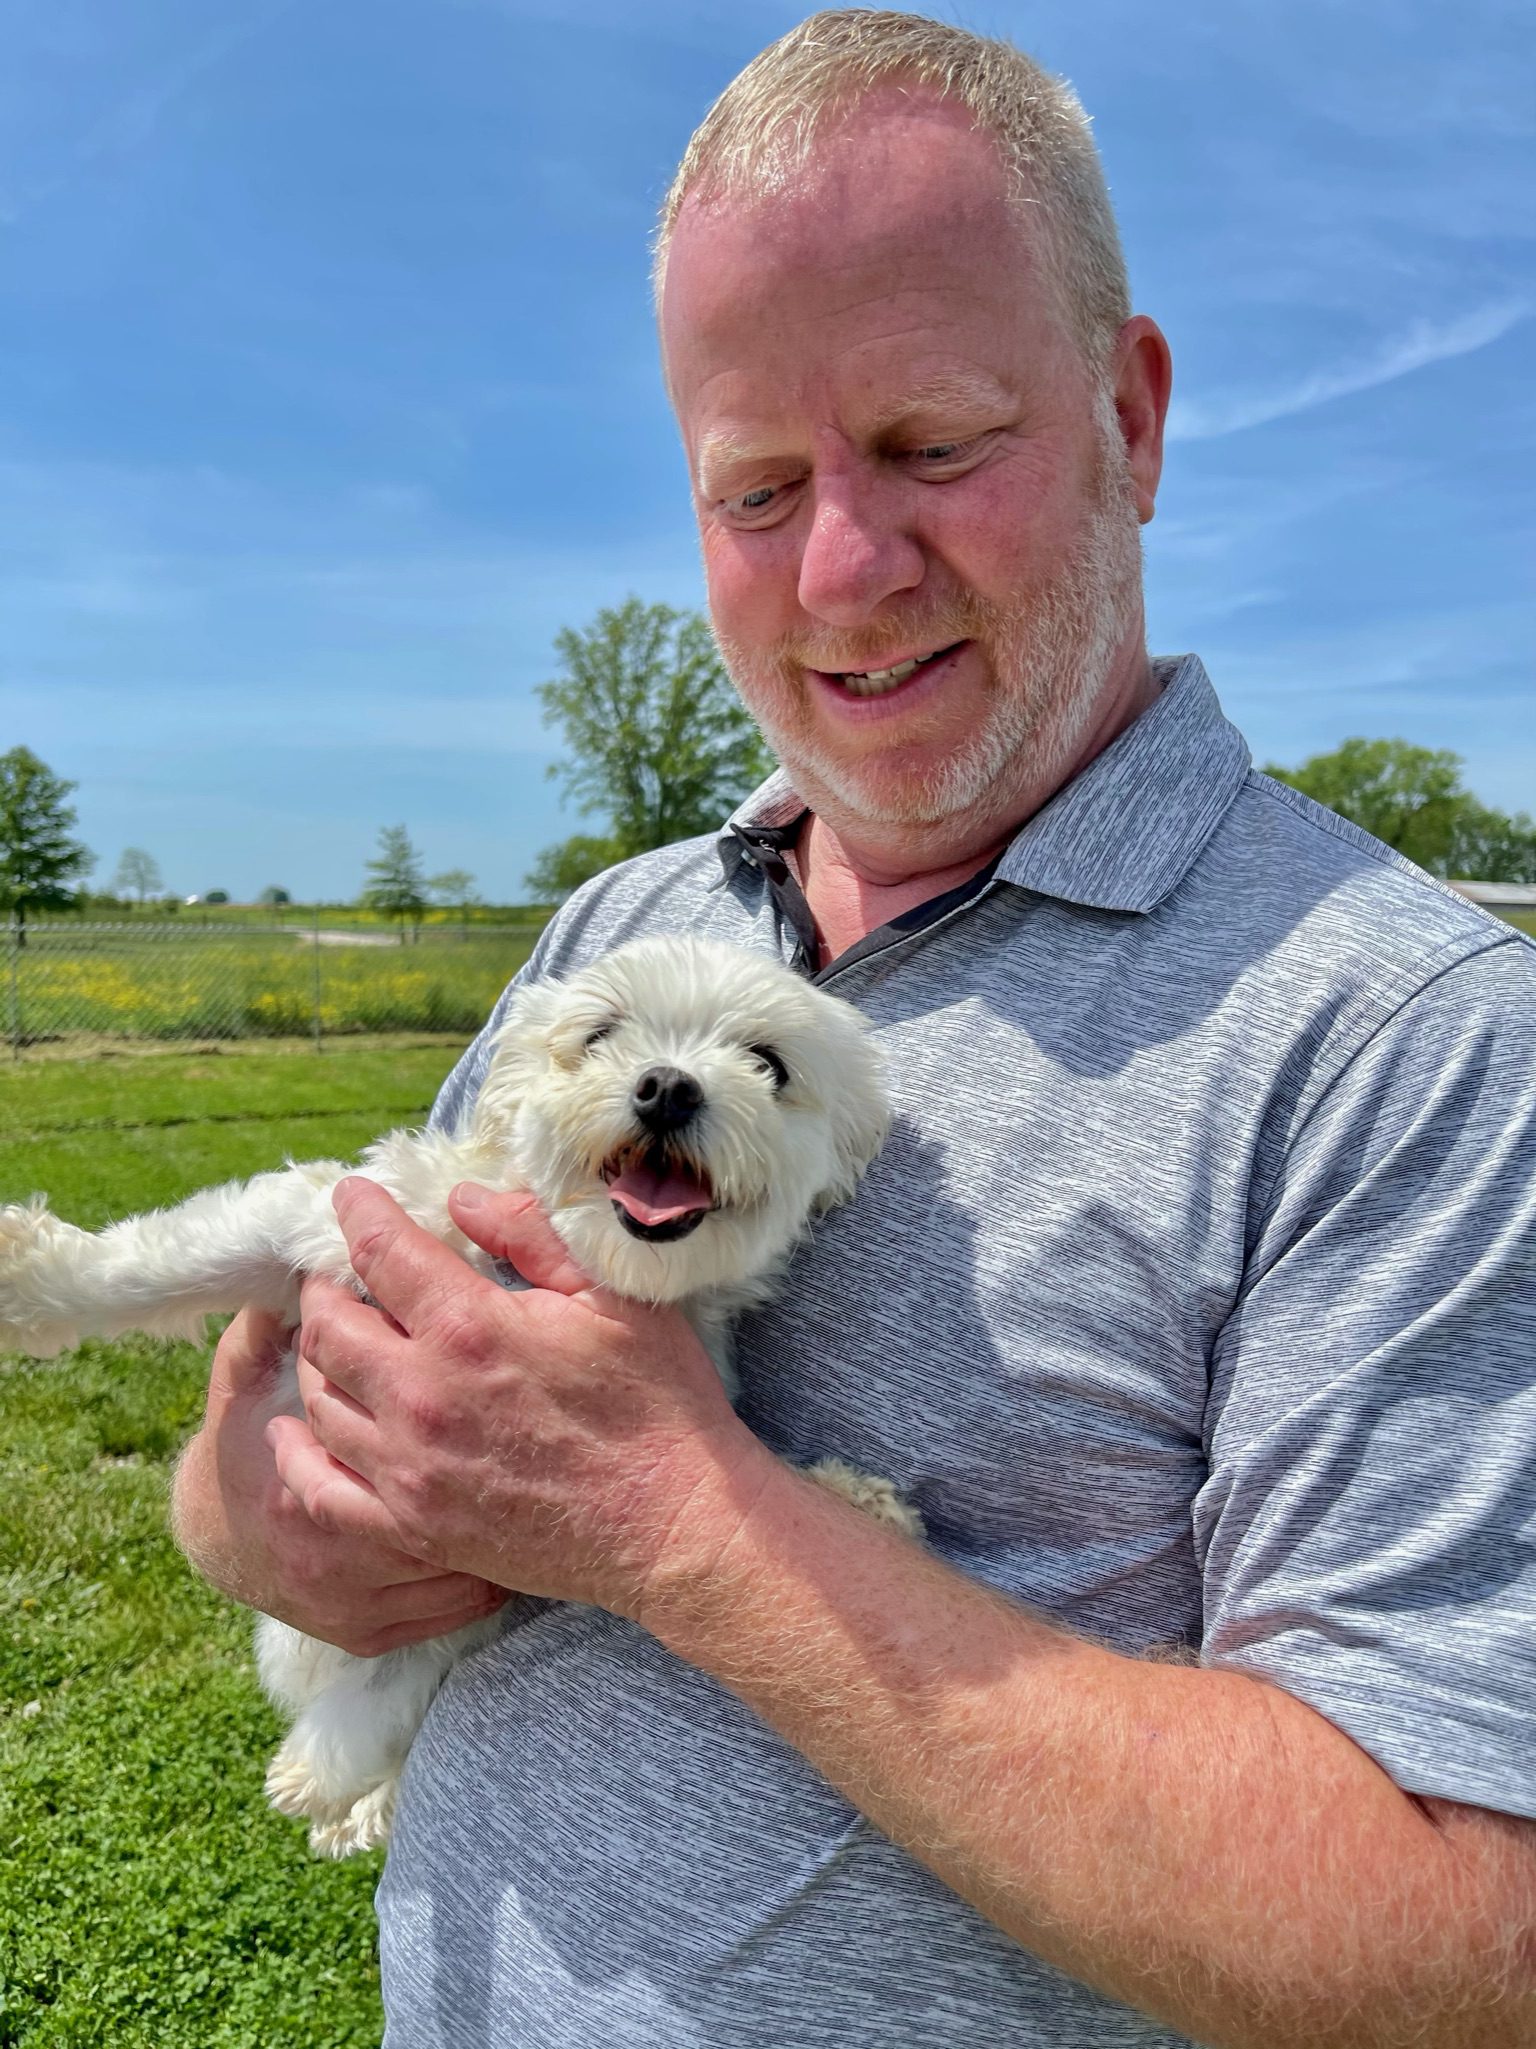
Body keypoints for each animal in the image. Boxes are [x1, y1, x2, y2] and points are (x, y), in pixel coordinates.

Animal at [3, 938, 913, 1860]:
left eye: (769, 1062)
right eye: (600, 1033)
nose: (667, 1085)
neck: (566, 1263)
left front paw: (859, 1499)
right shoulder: (331, 1217)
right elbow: (166, 1259)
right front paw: (32, 1282)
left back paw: (337, 1787)